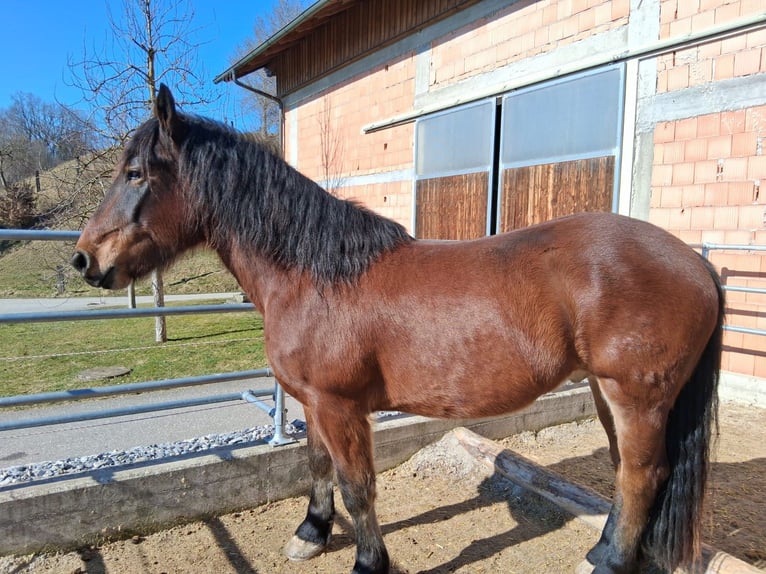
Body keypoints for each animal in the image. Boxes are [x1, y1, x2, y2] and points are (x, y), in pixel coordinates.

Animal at [72, 84, 724, 574]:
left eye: (135, 173)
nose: (83, 260)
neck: (315, 274)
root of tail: (695, 264)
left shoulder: (339, 406)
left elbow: (358, 486)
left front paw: (368, 562)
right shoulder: (313, 401)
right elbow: (317, 467)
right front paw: (310, 534)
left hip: (635, 396)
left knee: (641, 476)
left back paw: (610, 562)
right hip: (608, 393)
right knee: (626, 473)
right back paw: (606, 551)